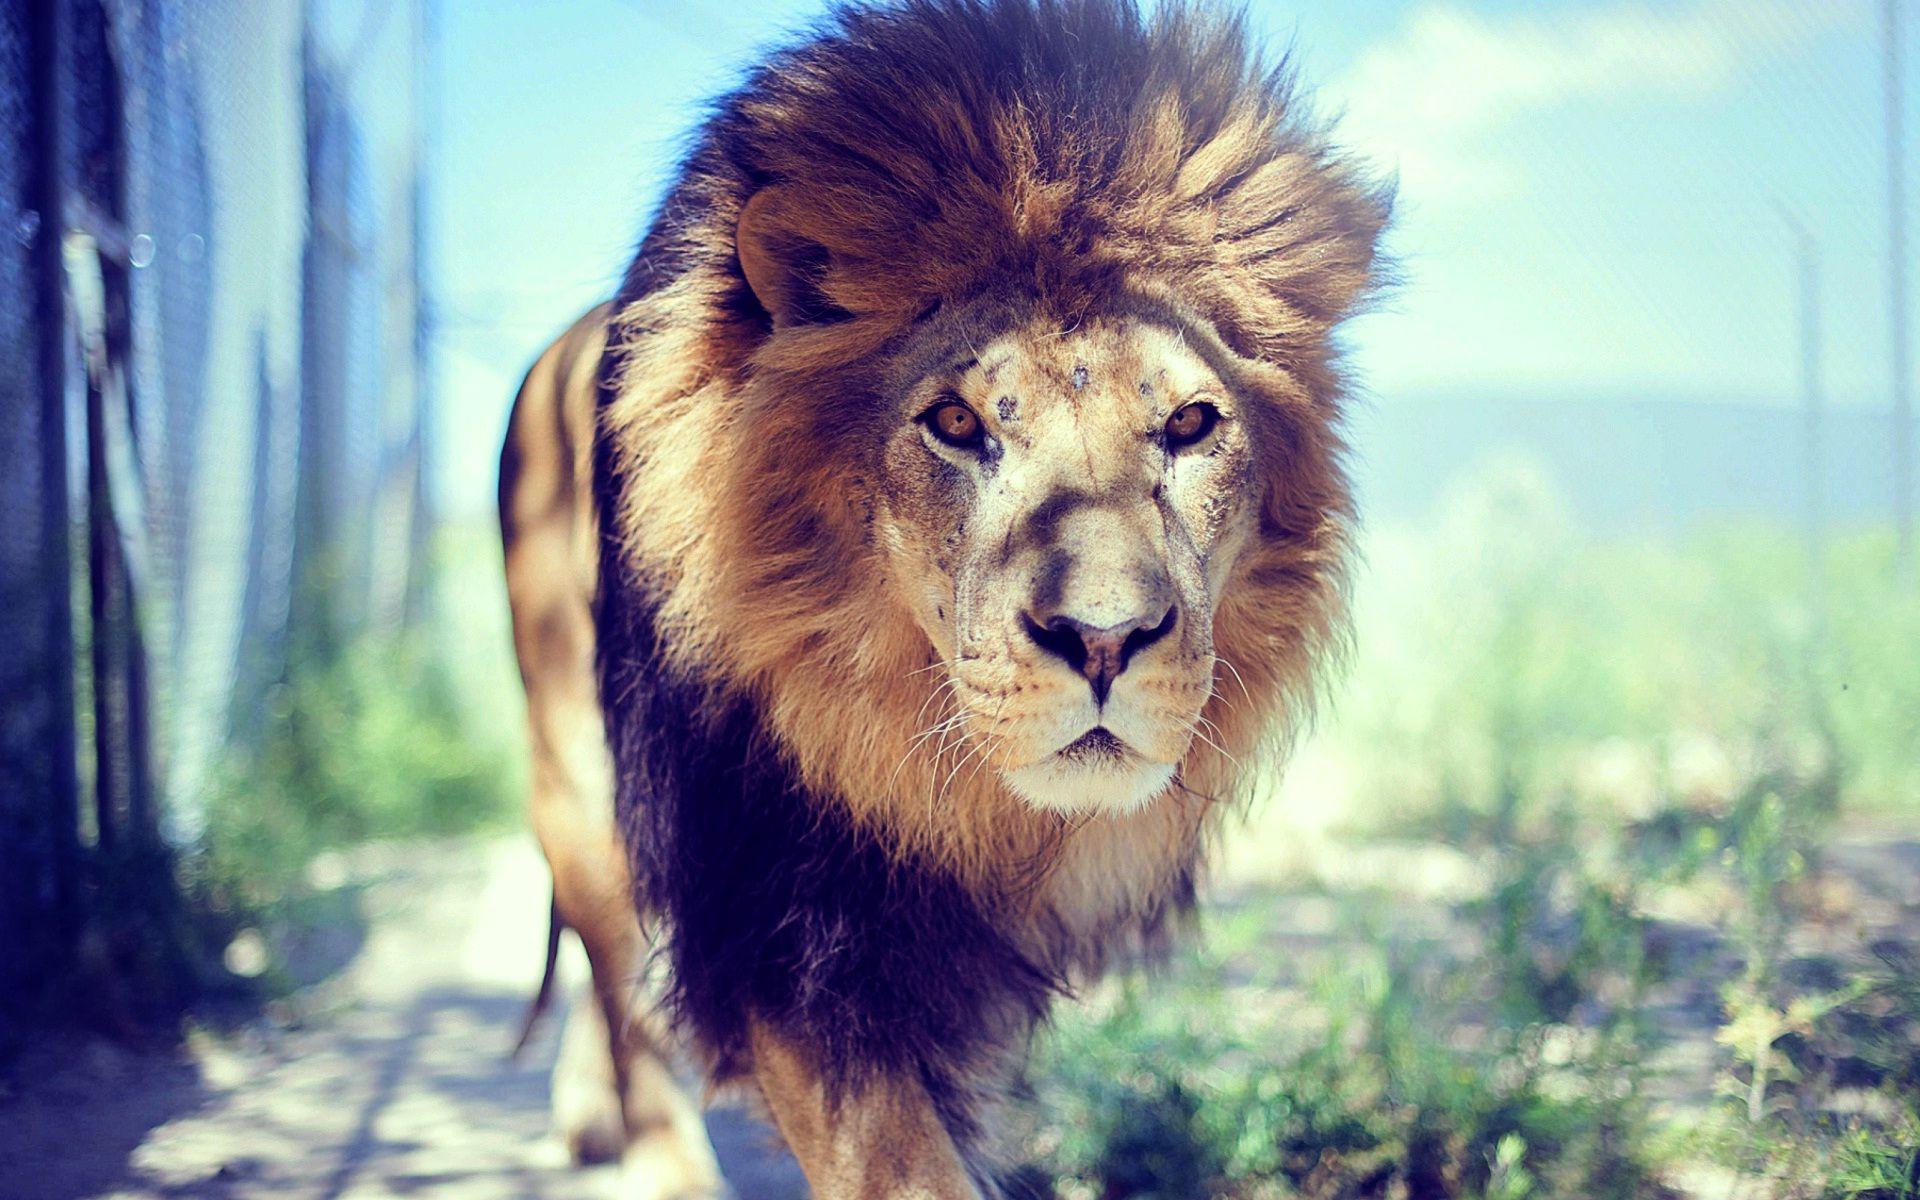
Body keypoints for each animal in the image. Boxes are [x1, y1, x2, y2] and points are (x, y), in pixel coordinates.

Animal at [499, 1, 1388, 1196]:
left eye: (1192, 424)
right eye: (957, 424)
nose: (1104, 640)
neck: (948, 792)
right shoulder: (774, 907)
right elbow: (895, 1155)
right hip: (575, 761)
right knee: (617, 979)